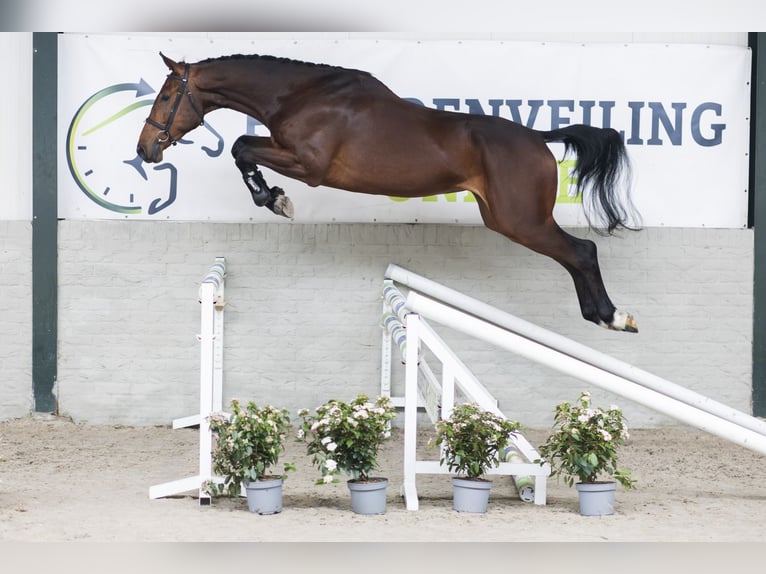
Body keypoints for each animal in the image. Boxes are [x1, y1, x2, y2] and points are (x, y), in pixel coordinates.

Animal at [137, 52, 639, 332]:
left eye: (166, 96)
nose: (145, 149)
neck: (302, 95)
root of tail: (538, 137)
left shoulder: (308, 165)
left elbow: (241, 147)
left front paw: (275, 199)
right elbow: (242, 148)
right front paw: (272, 196)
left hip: (522, 221)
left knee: (582, 251)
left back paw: (612, 316)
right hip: (504, 218)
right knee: (575, 255)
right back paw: (602, 315)